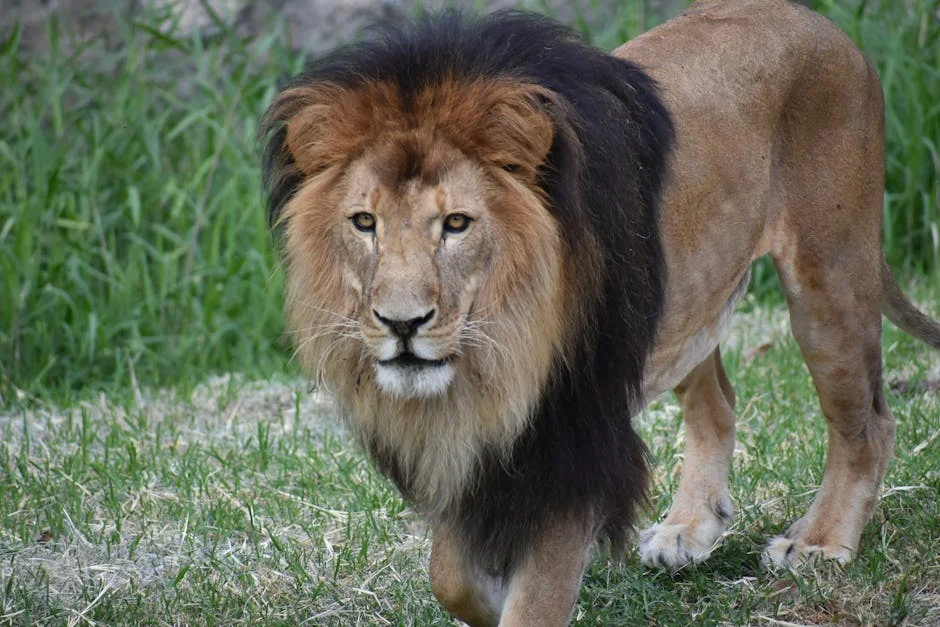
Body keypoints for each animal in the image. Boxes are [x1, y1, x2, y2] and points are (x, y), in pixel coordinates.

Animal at [261, 1, 940, 624]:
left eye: (456, 224)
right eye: (364, 222)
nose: (402, 325)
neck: (495, 353)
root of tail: (819, 23)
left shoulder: (575, 438)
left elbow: (533, 596)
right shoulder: (471, 439)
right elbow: (447, 572)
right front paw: (487, 592)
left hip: (829, 274)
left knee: (868, 423)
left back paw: (819, 544)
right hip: (679, 301)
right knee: (718, 402)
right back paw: (689, 529)